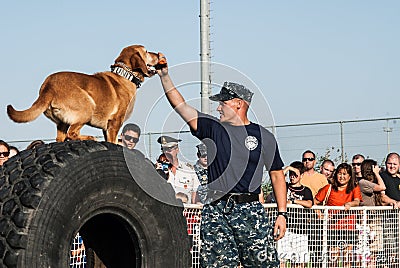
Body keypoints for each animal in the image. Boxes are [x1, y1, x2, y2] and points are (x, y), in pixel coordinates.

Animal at [6, 45, 166, 143]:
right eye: (146, 51)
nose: (158, 54)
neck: (125, 75)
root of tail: (48, 87)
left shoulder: (106, 127)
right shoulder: (115, 122)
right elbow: (114, 142)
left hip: (62, 123)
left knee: (62, 138)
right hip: (87, 108)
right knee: (72, 133)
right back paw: (89, 137)